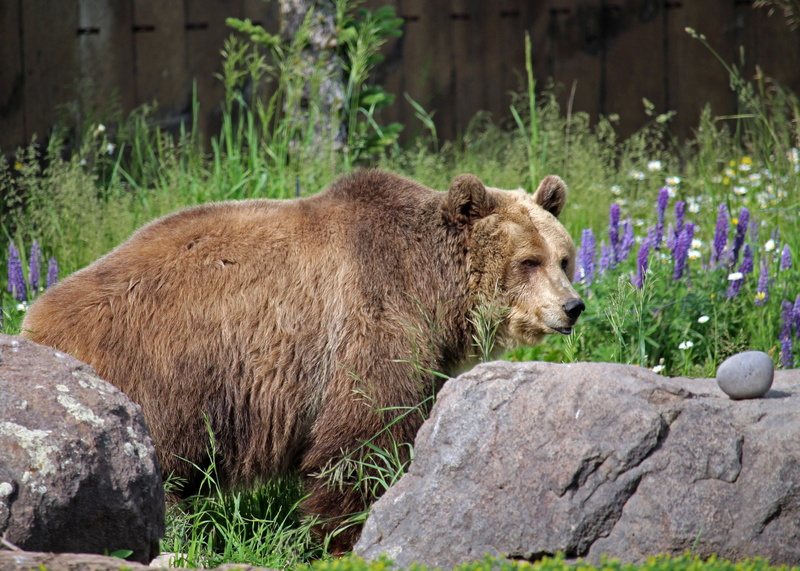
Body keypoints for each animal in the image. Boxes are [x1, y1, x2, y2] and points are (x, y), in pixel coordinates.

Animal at [21, 169, 584, 551]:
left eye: (564, 257)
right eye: (527, 261)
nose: (572, 307)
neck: (434, 290)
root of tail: (35, 321)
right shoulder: (370, 322)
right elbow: (361, 442)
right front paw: (342, 535)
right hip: (159, 376)